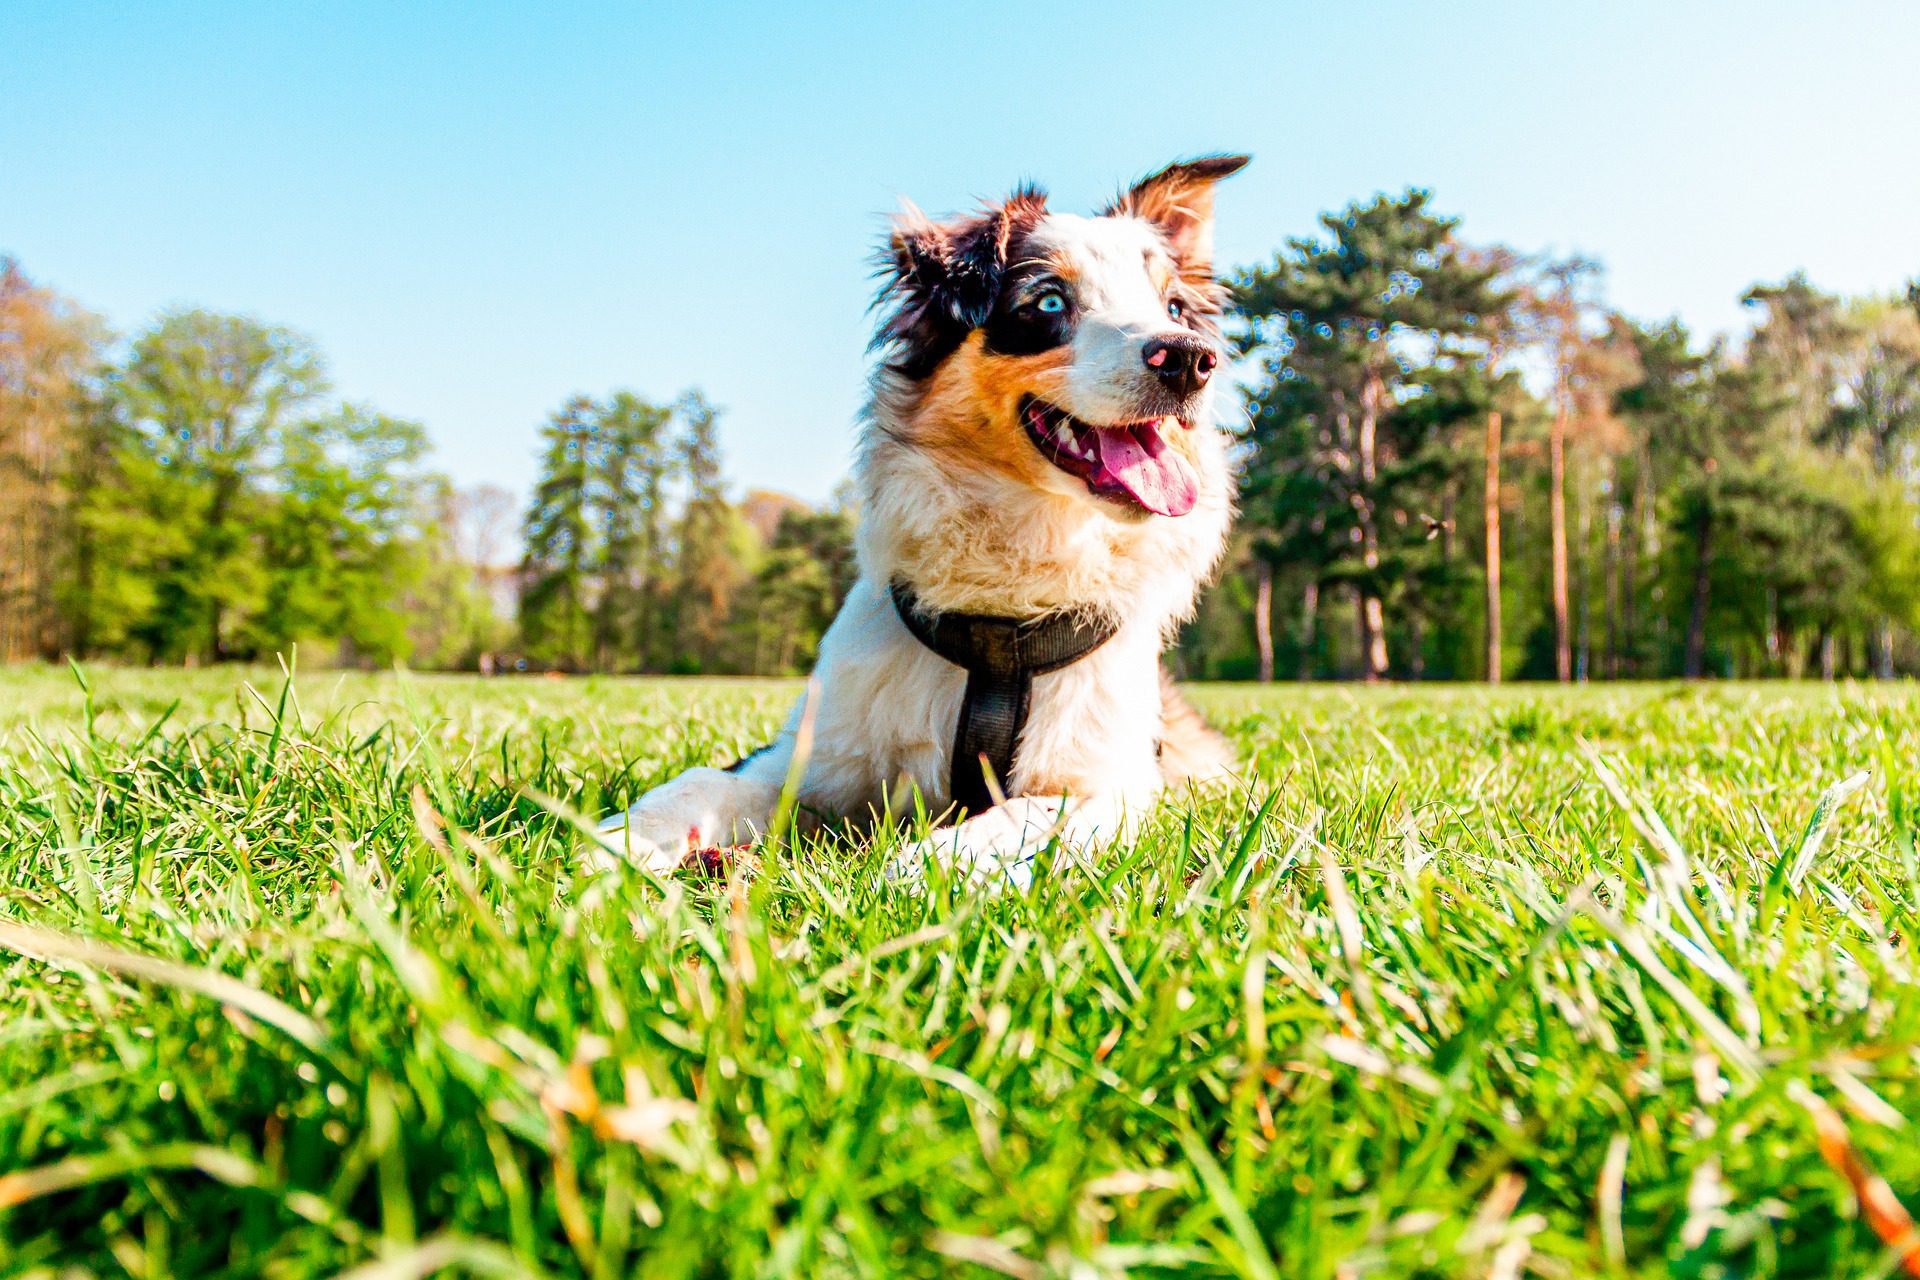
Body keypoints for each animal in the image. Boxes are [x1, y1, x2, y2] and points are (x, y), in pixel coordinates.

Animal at [606, 155, 1251, 886]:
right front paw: (615, 840)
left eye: (1172, 308)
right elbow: (701, 781)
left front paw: (912, 875)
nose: (1191, 359)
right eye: (1048, 303)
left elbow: (1015, 817)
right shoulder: (810, 756)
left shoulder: (1108, 785)